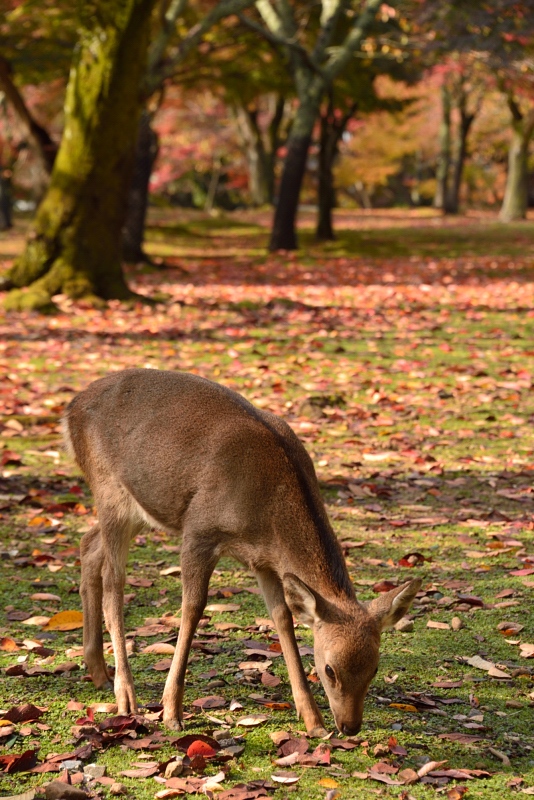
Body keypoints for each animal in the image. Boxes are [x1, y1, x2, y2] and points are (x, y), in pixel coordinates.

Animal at [63, 372, 422, 736]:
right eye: (329, 669)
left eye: (374, 667)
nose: (350, 726)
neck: (266, 514)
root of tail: (71, 408)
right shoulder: (199, 530)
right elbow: (193, 608)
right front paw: (171, 711)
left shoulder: (263, 561)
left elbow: (283, 618)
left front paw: (312, 720)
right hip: (109, 490)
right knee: (113, 581)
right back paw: (126, 695)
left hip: (138, 508)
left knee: (88, 545)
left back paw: (97, 671)